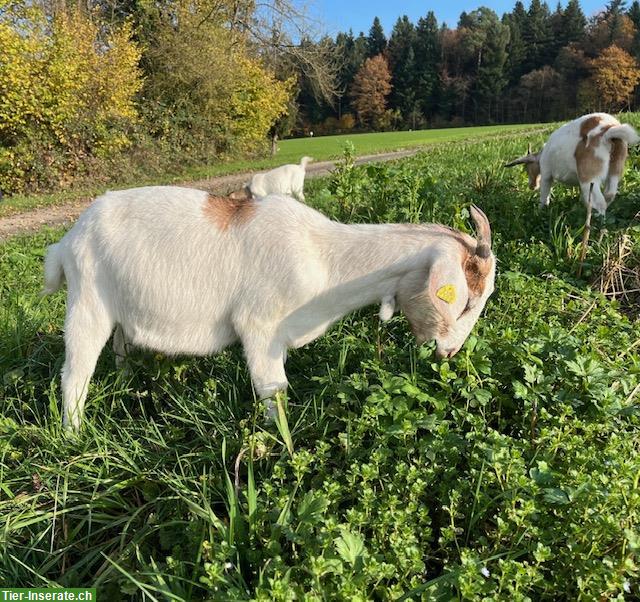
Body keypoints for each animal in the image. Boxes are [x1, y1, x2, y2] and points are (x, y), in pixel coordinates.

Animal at [43, 186, 496, 426]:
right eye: (467, 301)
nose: (450, 352)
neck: (325, 256)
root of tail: (66, 240)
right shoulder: (260, 329)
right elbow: (273, 394)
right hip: (87, 305)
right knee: (75, 375)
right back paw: (73, 434)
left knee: (120, 349)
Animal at [504, 113, 640, 216]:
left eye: (527, 169)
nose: (532, 186)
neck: (541, 155)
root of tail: (608, 130)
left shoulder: (546, 174)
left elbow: (544, 195)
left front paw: (540, 210)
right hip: (615, 169)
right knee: (609, 194)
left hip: (589, 178)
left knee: (600, 202)